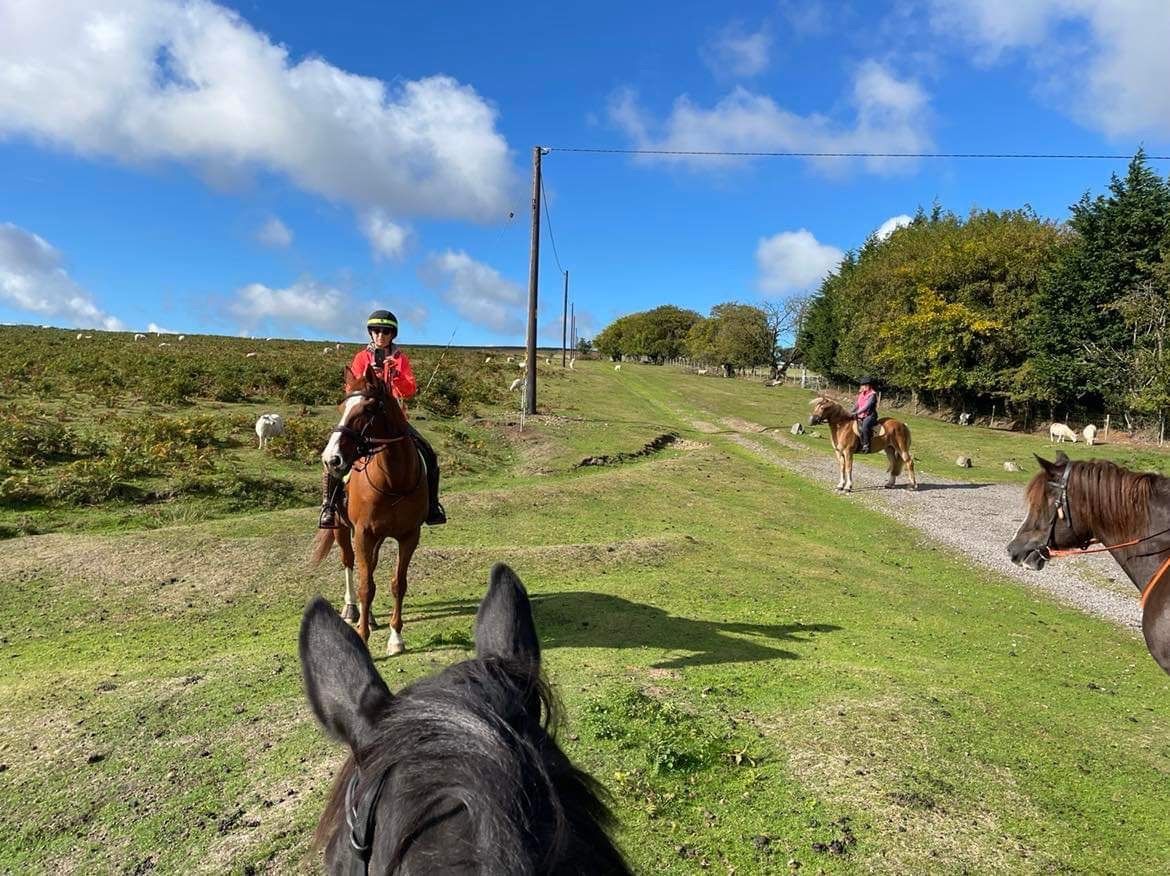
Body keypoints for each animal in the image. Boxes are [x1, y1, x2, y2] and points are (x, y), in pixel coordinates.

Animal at [308, 357, 428, 654]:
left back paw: (370, 616)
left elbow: (398, 584)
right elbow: (365, 586)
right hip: (342, 528)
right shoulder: (363, 533)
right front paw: (361, 635)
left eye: (368, 408)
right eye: (342, 408)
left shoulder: (409, 536)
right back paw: (353, 610)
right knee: (350, 564)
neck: (393, 480)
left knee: (369, 568)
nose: (331, 458)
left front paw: (396, 637)